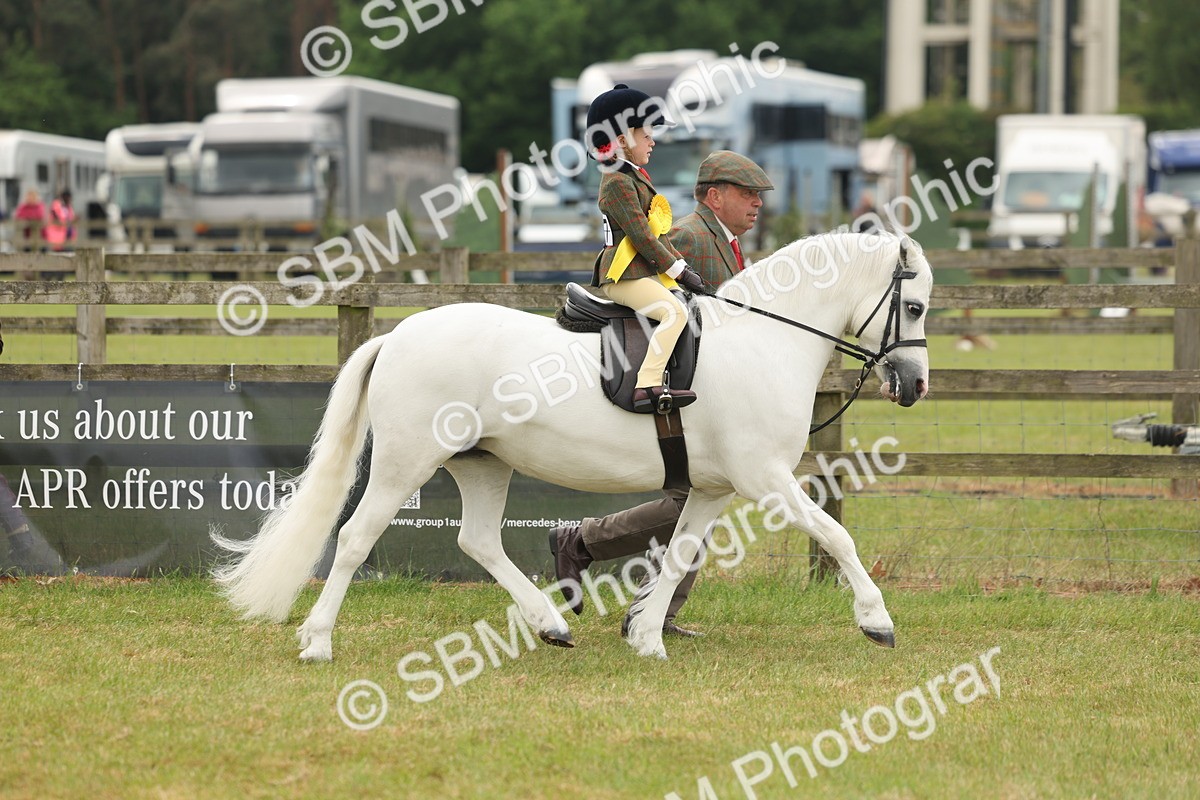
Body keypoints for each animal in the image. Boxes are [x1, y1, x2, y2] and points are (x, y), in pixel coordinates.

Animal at [212, 230, 932, 661]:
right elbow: (837, 537)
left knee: (478, 541)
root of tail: (399, 335)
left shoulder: (711, 489)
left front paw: (647, 639)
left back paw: (550, 623)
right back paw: (317, 641)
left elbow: (678, 557)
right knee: (356, 538)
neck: (763, 341)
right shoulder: (765, 478)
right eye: (916, 308)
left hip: (483, 465)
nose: (916, 385)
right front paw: (877, 620)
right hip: (402, 464)